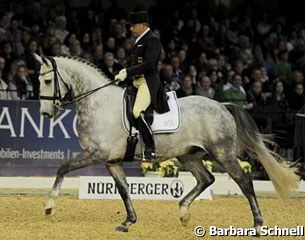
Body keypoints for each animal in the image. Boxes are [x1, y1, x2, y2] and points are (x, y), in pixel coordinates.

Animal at [34, 54, 298, 234]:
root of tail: (222, 105)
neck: (98, 103)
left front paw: (49, 206)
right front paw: (128, 221)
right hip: (188, 156)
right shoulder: (112, 161)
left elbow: (63, 168)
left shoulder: (96, 154)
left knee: (244, 182)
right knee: (206, 179)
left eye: (46, 81)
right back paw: (183, 213)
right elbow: (123, 189)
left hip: (222, 153)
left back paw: (258, 224)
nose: (45, 114)